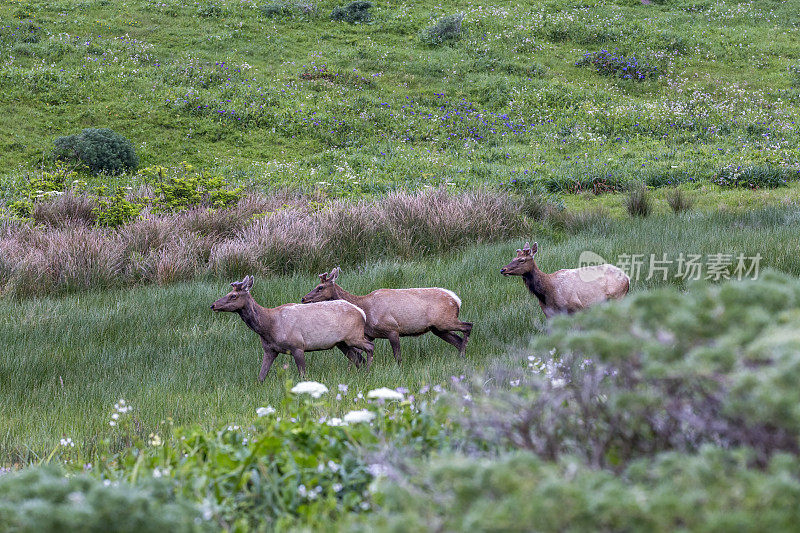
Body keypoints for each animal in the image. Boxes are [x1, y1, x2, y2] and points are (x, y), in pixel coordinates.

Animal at [212, 274, 376, 378]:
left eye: (233, 295)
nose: (213, 305)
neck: (268, 327)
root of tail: (361, 312)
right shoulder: (269, 350)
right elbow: (261, 377)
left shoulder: (297, 345)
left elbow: (303, 376)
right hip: (341, 343)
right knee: (357, 358)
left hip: (354, 336)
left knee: (370, 347)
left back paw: (368, 372)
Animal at [304, 268, 472, 364]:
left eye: (320, 287)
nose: (304, 298)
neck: (366, 310)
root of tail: (456, 300)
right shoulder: (369, 334)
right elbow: (357, 353)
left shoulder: (392, 328)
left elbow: (397, 356)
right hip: (438, 328)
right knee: (457, 340)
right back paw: (462, 357)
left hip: (446, 320)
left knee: (468, 326)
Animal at [500, 243, 632, 318]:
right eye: (513, 258)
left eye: (521, 260)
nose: (502, 269)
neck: (547, 292)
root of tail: (628, 278)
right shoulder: (549, 314)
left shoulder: (576, 307)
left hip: (618, 297)